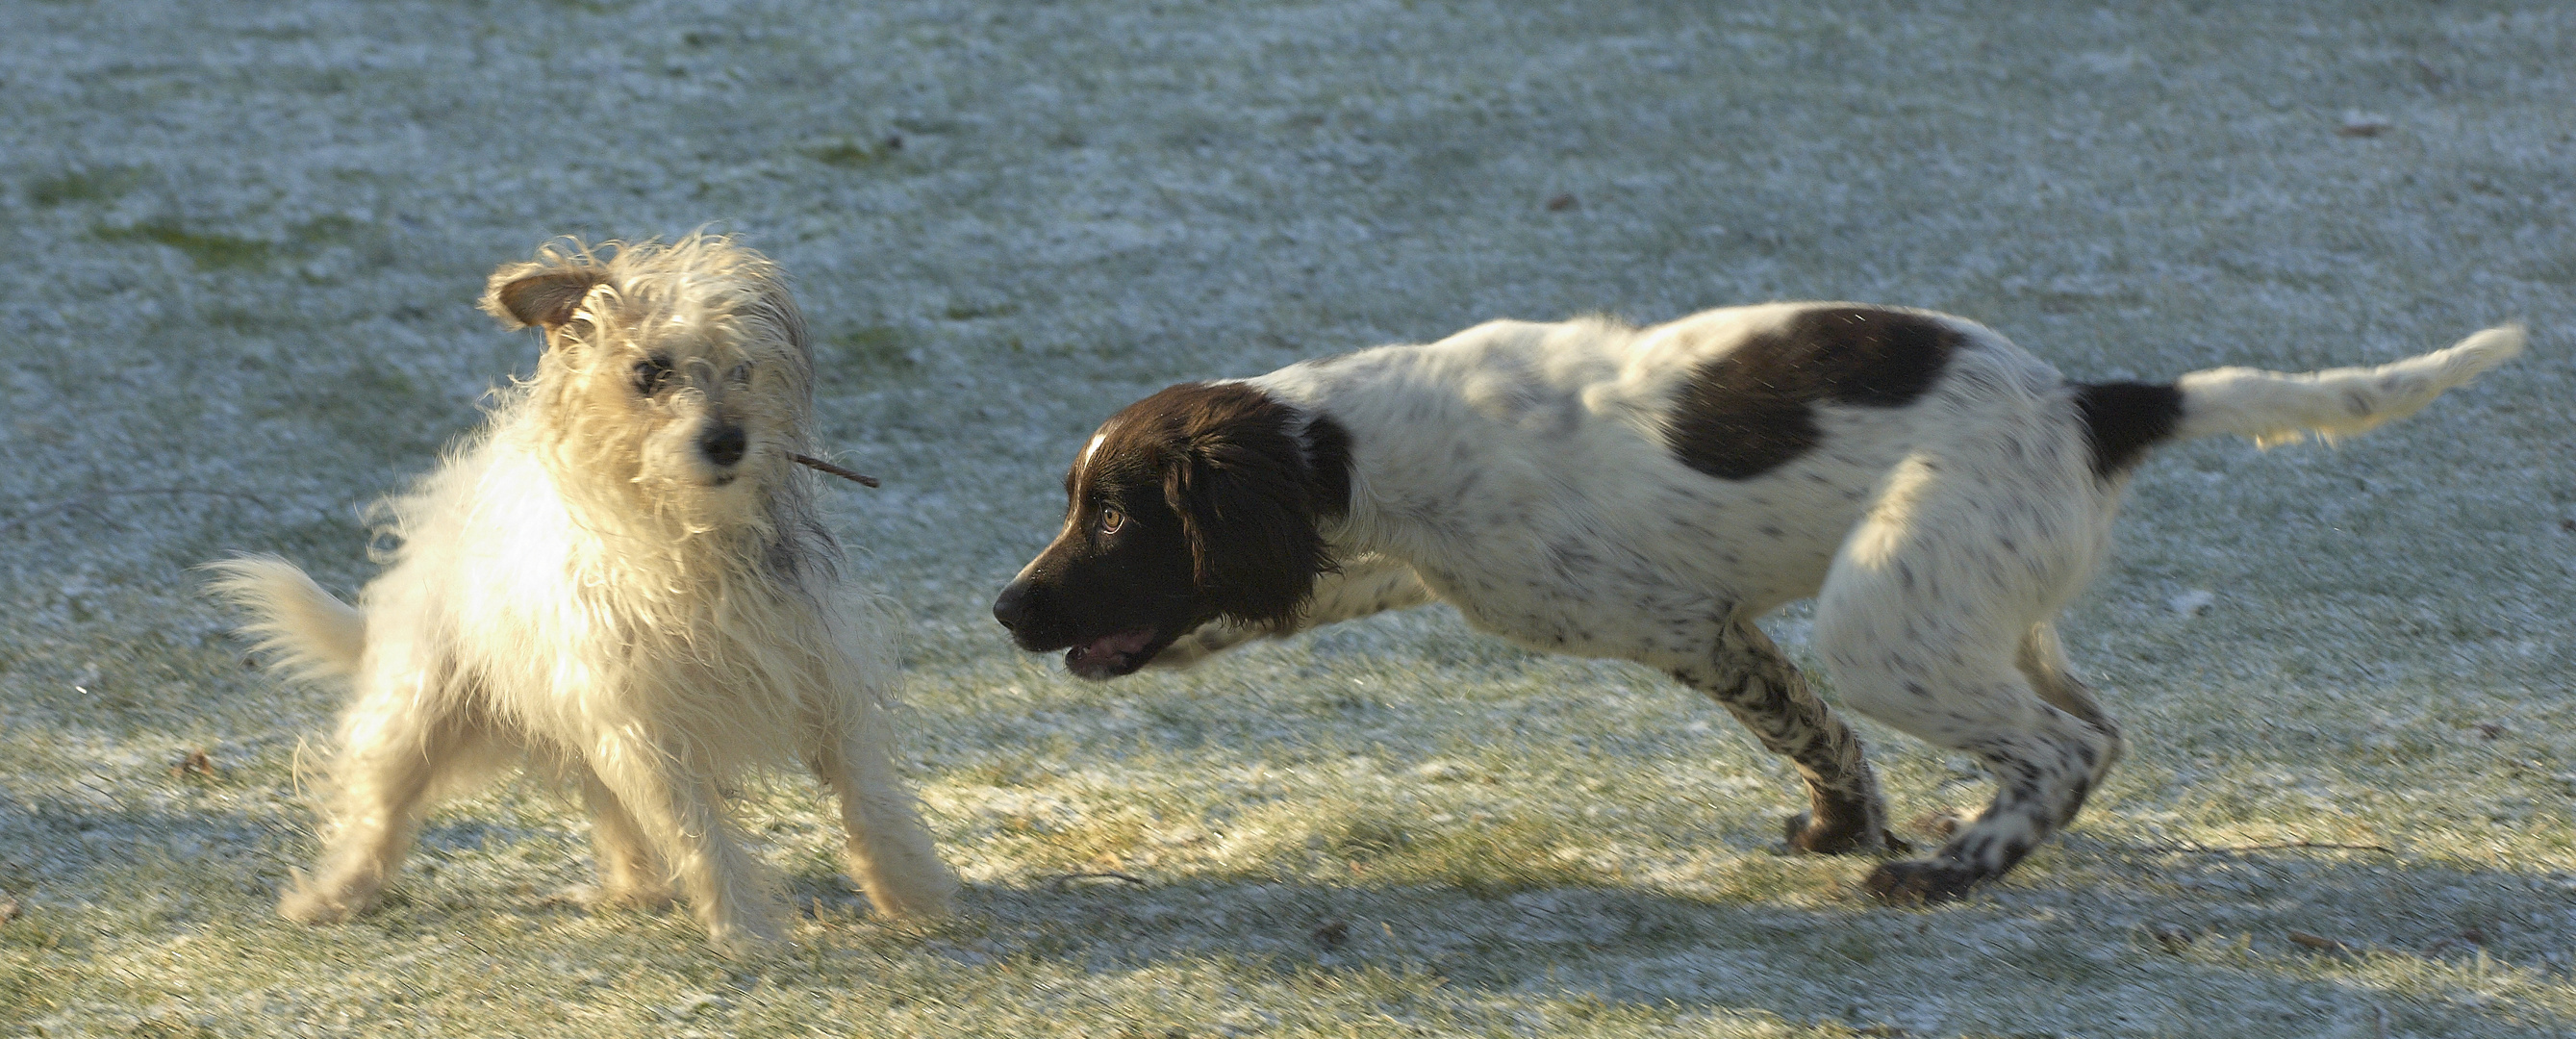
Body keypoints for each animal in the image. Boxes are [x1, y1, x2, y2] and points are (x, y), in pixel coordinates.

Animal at [208, 236, 958, 953]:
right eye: (649, 373)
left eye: (743, 368)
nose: (727, 441)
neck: (692, 542)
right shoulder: (640, 724)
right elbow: (695, 831)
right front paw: (747, 930)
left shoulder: (821, 675)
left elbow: (867, 795)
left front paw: (909, 888)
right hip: (421, 704)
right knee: (379, 809)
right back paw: (334, 894)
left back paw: (634, 889)